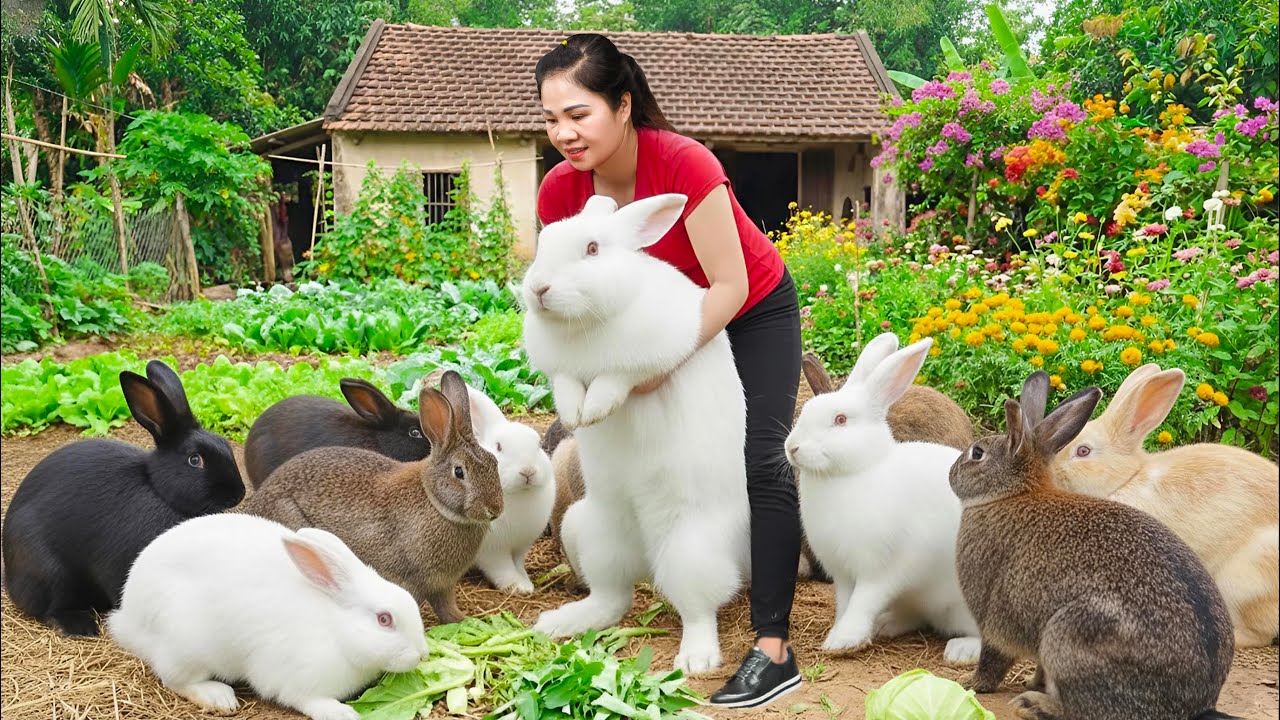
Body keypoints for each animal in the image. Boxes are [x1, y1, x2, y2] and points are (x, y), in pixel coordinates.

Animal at [1, 359, 244, 636]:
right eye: (195, 460)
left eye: (225, 445)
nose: (239, 493)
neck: (160, 491)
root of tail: (10, 577)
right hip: (51, 572)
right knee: (49, 607)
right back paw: (81, 625)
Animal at [107, 512, 428, 720]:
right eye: (384, 619)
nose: (423, 654)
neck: (336, 629)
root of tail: (129, 616)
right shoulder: (296, 678)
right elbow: (307, 700)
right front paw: (342, 713)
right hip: (186, 647)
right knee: (175, 680)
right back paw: (219, 696)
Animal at [465, 385, 556, 594]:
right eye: (498, 447)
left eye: (538, 445)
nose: (528, 471)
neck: (516, 495)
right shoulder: (493, 550)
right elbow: (503, 568)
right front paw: (518, 586)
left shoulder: (520, 546)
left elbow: (518, 563)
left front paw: (526, 581)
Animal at [785, 333, 982, 665]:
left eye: (840, 420)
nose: (792, 447)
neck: (855, 473)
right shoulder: (843, 573)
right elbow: (846, 602)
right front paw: (841, 630)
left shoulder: (882, 570)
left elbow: (864, 601)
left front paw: (842, 641)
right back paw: (886, 624)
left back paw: (963, 650)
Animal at [949, 371, 1238, 720]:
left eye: (976, 453)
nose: (950, 473)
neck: (1012, 494)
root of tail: (1194, 705)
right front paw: (1031, 682)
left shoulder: (993, 618)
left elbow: (992, 659)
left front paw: (971, 684)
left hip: (1070, 636)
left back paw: (1032, 705)